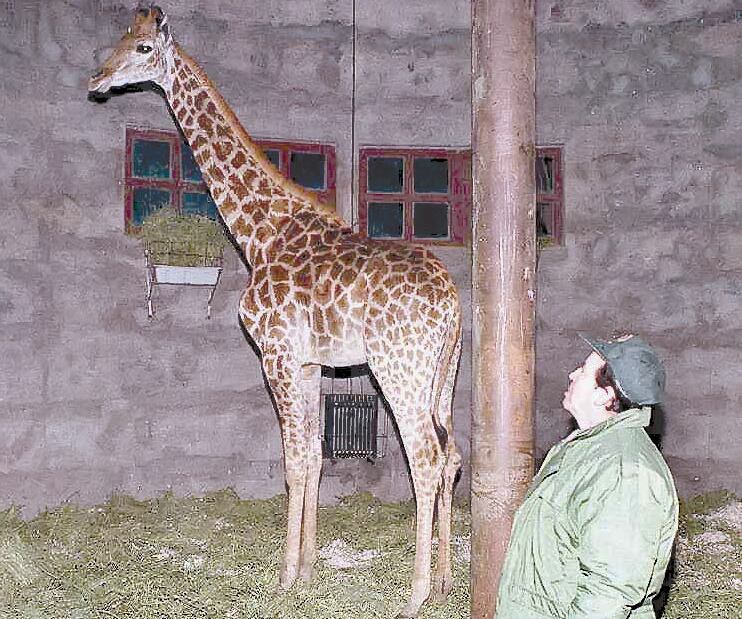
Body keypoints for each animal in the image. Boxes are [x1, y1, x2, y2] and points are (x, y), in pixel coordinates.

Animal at [88, 4, 464, 616]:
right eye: (120, 38)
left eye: (142, 48)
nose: (97, 79)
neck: (258, 233)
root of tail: (452, 303)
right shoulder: (308, 363)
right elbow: (313, 454)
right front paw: (307, 569)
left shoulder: (277, 354)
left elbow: (292, 461)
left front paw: (285, 577)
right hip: (443, 374)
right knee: (451, 455)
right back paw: (448, 581)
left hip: (398, 368)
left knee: (426, 458)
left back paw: (415, 595)